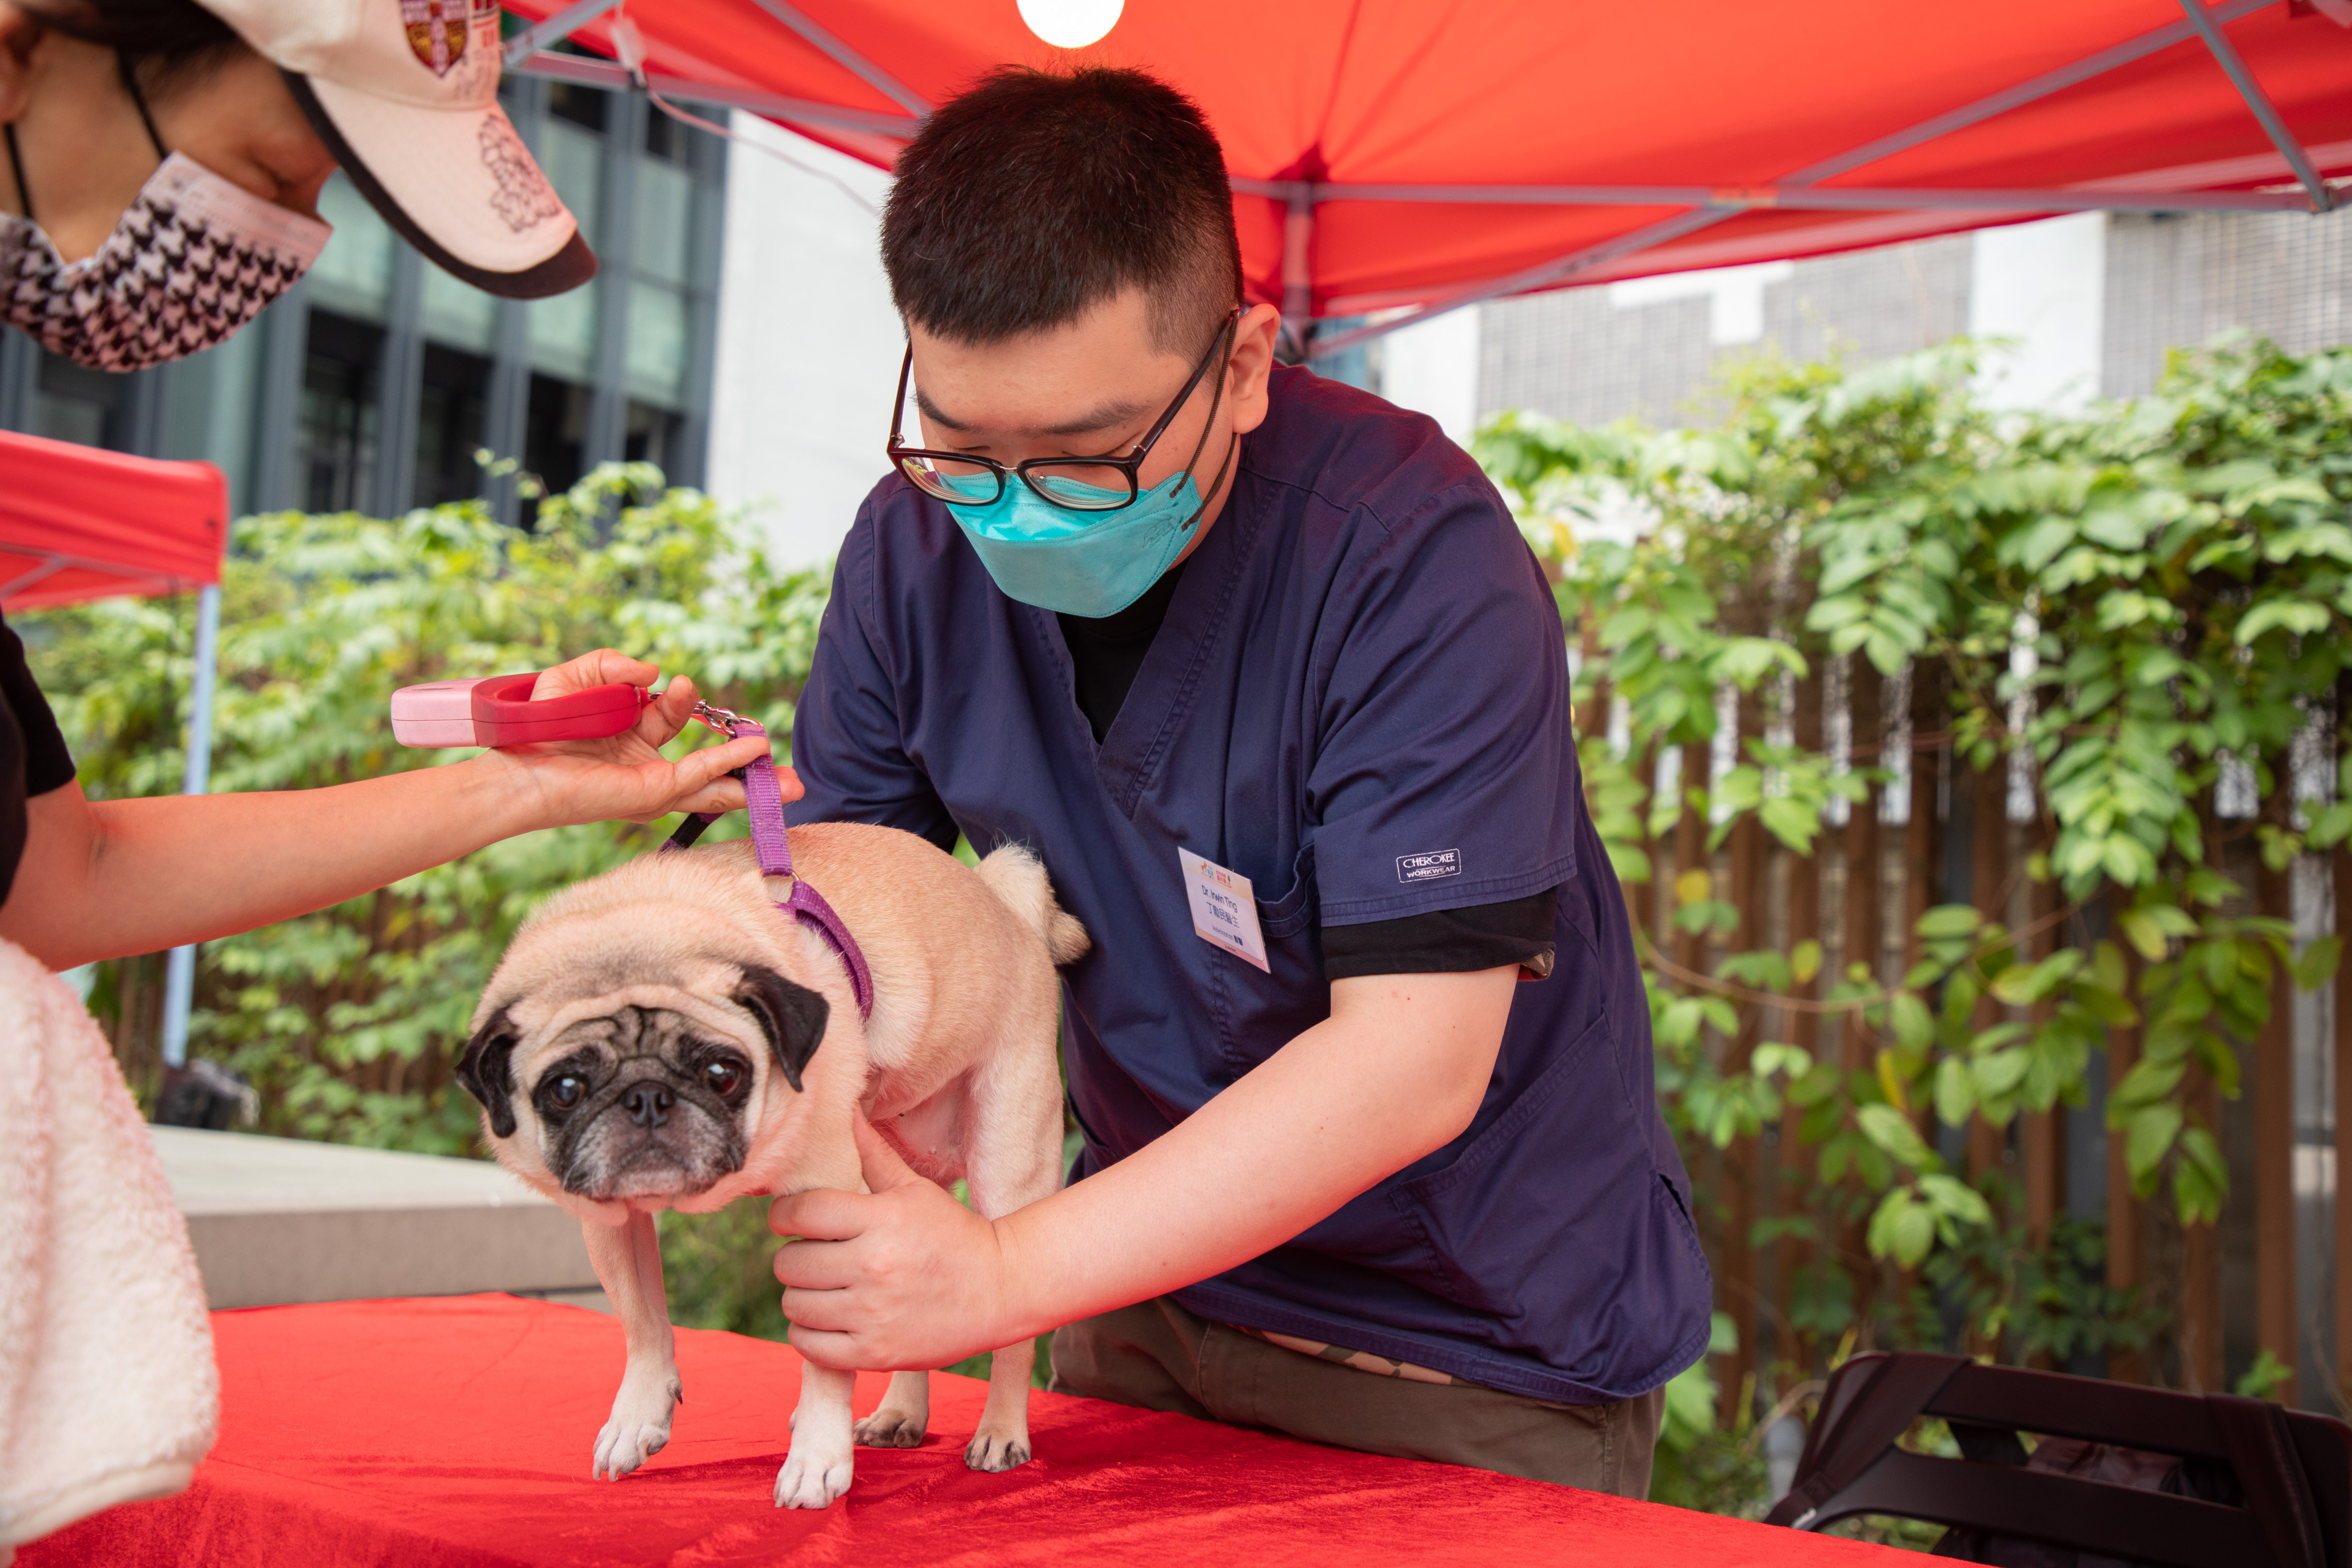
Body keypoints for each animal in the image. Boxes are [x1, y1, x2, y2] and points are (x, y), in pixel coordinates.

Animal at [458, 827, 1091, 1514]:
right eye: (566, 1090)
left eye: (722, 1074)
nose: (647, 1097)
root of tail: (1009, 912)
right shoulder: (611, 1224)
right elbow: (642, 1323)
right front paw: (637, 1416)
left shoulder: (832, 1211)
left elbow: (826, 1360)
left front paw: (816, 1458)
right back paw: (900, 1413)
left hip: (1008, 1156)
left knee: (1013, 1325)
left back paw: (1001, 1431)